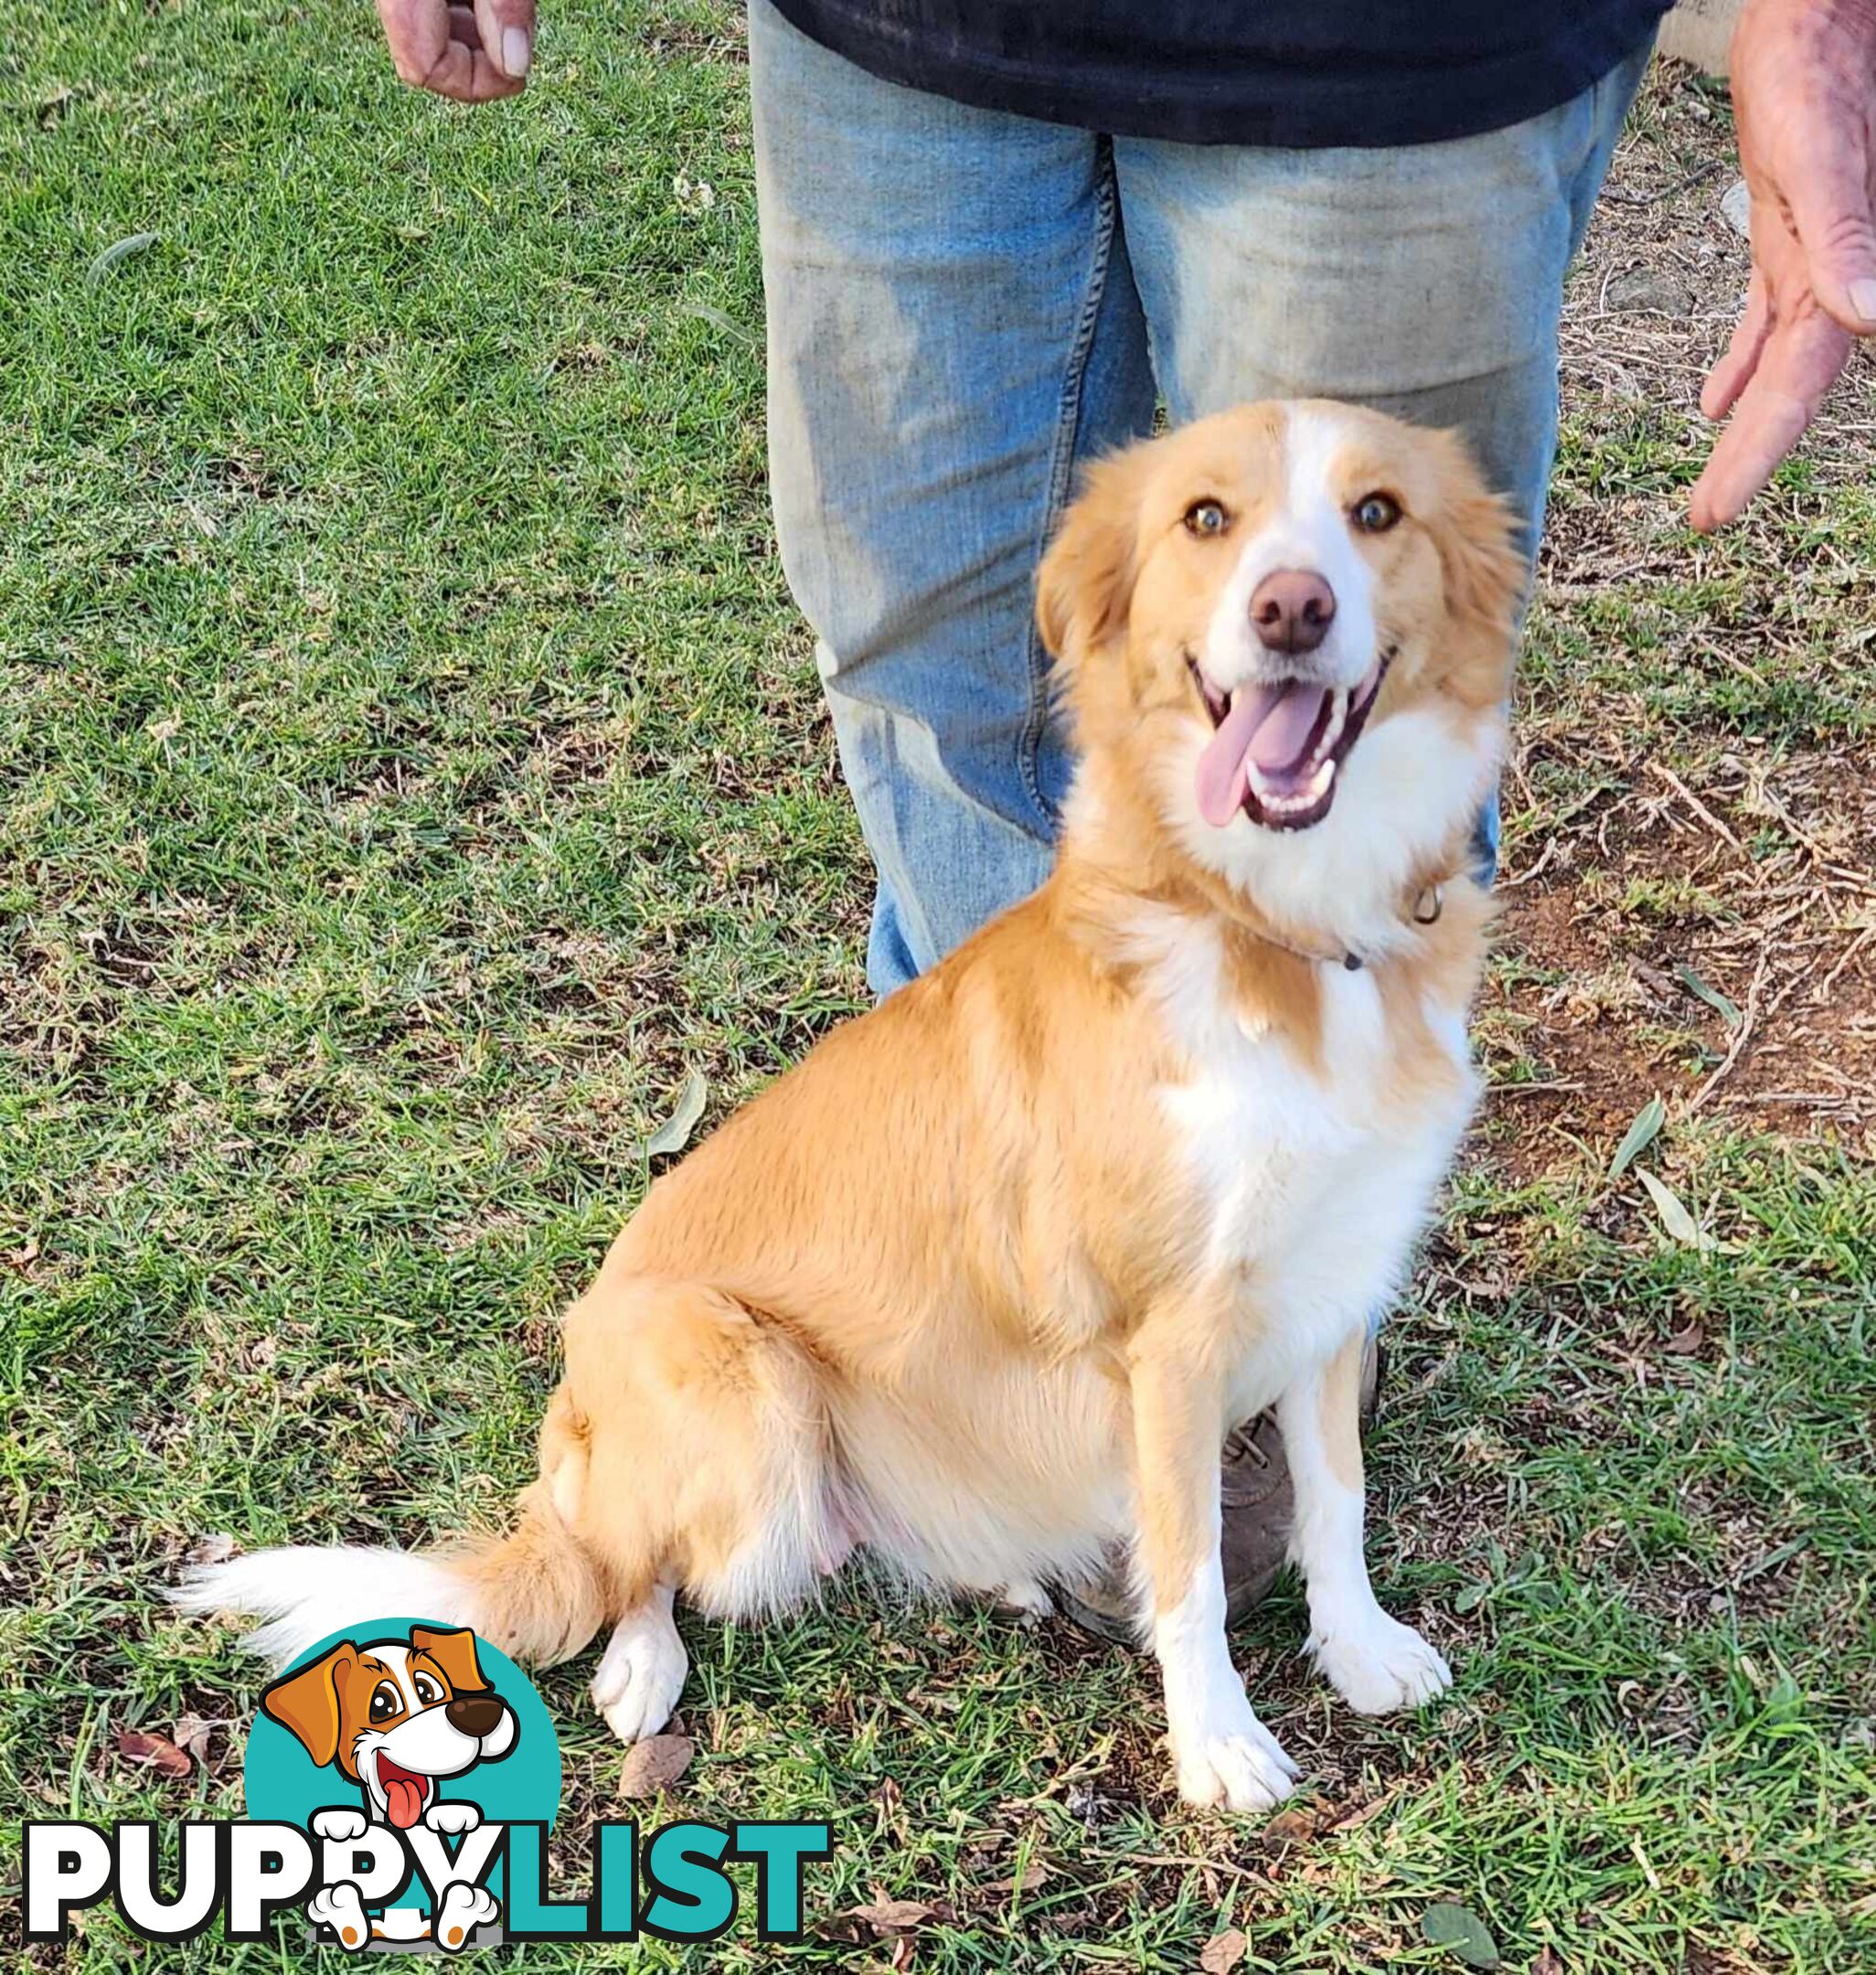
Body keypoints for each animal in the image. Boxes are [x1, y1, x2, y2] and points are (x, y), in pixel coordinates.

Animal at [179, 404, 1524, 1817]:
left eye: (1376, 513)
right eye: (1206, 518)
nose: (1292, 609)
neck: (1279, 924)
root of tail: (576, 1397)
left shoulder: (1333, 1281)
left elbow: (1337, 1499)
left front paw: (1358, 1646)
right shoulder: (1169, 1344)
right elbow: (1193, 1567)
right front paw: (1216, 1742)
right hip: (745, 1386)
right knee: (626, 1564)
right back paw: (642, 1664)